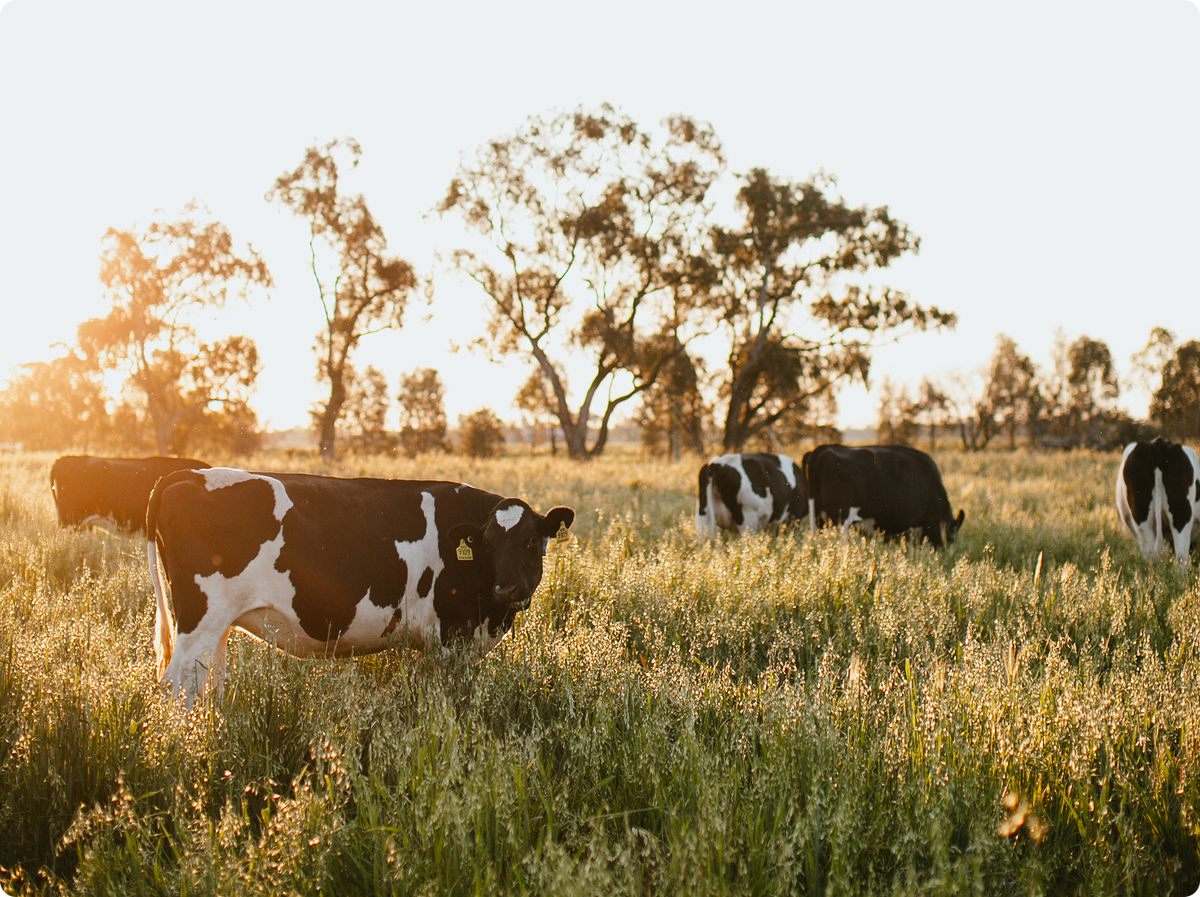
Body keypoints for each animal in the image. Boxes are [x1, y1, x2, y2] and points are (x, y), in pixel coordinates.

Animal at [146, 467, 575, 706]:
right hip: (199, 619)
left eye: (530, 541)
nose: (507, 589)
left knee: (205, 684)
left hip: (217, 626)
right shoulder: (451, 639)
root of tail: (181, 475)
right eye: (487, 544)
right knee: (176, 686)